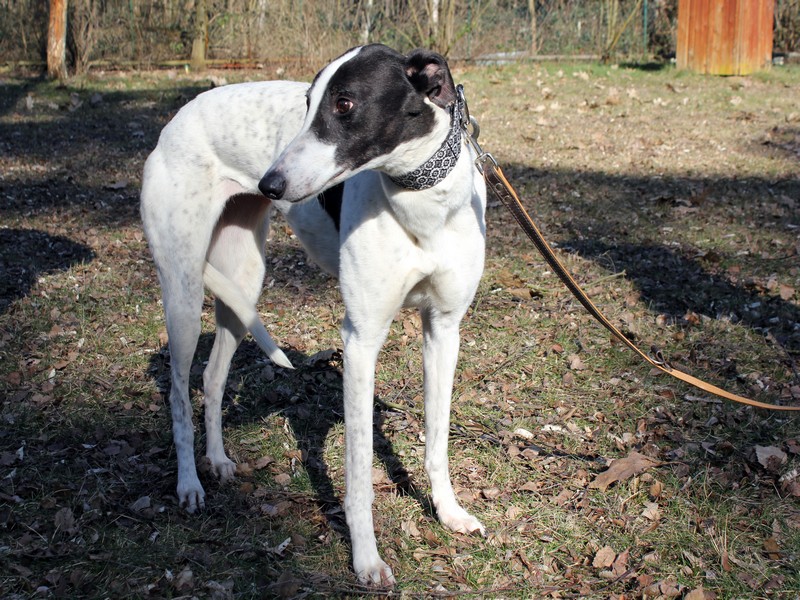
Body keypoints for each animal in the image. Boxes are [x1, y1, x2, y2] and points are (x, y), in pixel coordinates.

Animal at [141, 43, 487, 586]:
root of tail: (173, 122)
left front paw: (448, 511)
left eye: (344, 104)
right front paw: (366, 559)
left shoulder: (444, 329)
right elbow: (359, 471)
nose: (270, 183)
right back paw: (189, 483)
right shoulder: (361, 340)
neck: (421, 200)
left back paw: (217, 459)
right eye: (307, 102)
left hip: (243, 282)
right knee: (179, 392)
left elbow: (436, 438)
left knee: (213, 377)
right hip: (183, 289)